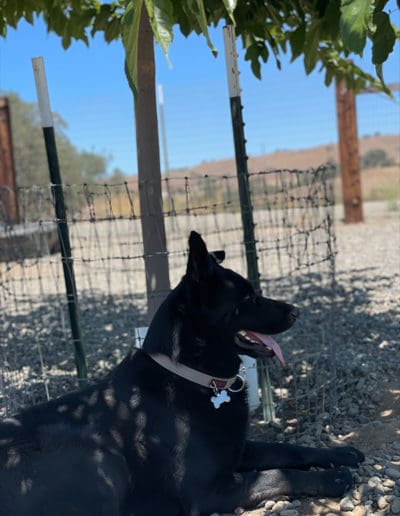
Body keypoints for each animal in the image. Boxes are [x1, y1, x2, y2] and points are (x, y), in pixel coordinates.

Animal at [0, 232, 362, 512]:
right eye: (247, 298)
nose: (296, 311)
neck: (191, 375)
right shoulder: (211, 490)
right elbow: (276, 474)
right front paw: (332, 477)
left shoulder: (237, 449)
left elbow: (288, 448)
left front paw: (338, 453)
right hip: (100, 458)